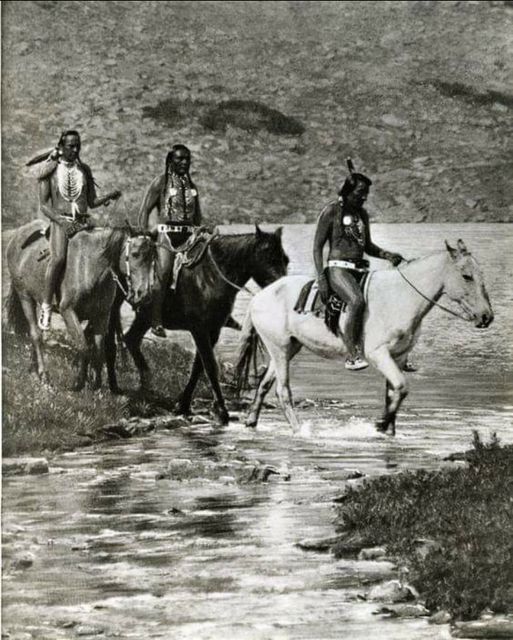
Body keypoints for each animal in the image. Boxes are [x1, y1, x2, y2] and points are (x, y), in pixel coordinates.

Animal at [6, 220, 155, 390]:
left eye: (153, 257)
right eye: (135, 254)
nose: (144, 294)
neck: (89, 267)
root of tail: (17, 236)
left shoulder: (102, 315)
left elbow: (98, 349)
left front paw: (96, 384)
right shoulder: (68, 312)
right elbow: (83, 346)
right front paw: (79, 382)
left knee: (39, 331)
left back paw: (34, 369)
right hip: (25, 297)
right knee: (36, 335)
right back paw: (44, 376)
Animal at [105, 225, 288, 424]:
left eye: (286, 259)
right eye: (266, 255)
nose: (286, 289)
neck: (210, 276)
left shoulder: (213, 330)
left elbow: (198, 366)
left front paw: (183, 405)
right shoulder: (199, 328)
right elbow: (210, 366)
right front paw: (221, 410)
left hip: (143, 317)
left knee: (131, 339)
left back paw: (147, 387)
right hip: (111, 308)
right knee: (110, 344)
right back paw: (114, 389)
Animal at [235, 240, 492, 436]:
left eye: (481, 274)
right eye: (466, 276)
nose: (487, 317)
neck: (400, 296)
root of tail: (258, 297)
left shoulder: (399, 357)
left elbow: (393, 394)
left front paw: (387, 430)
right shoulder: (378, 354)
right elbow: (402, 386)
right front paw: (381, 424)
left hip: (288, 348)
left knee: (264, 384)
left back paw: (251, 422)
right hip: (278, 348)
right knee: (282, 391)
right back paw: (300, 431)